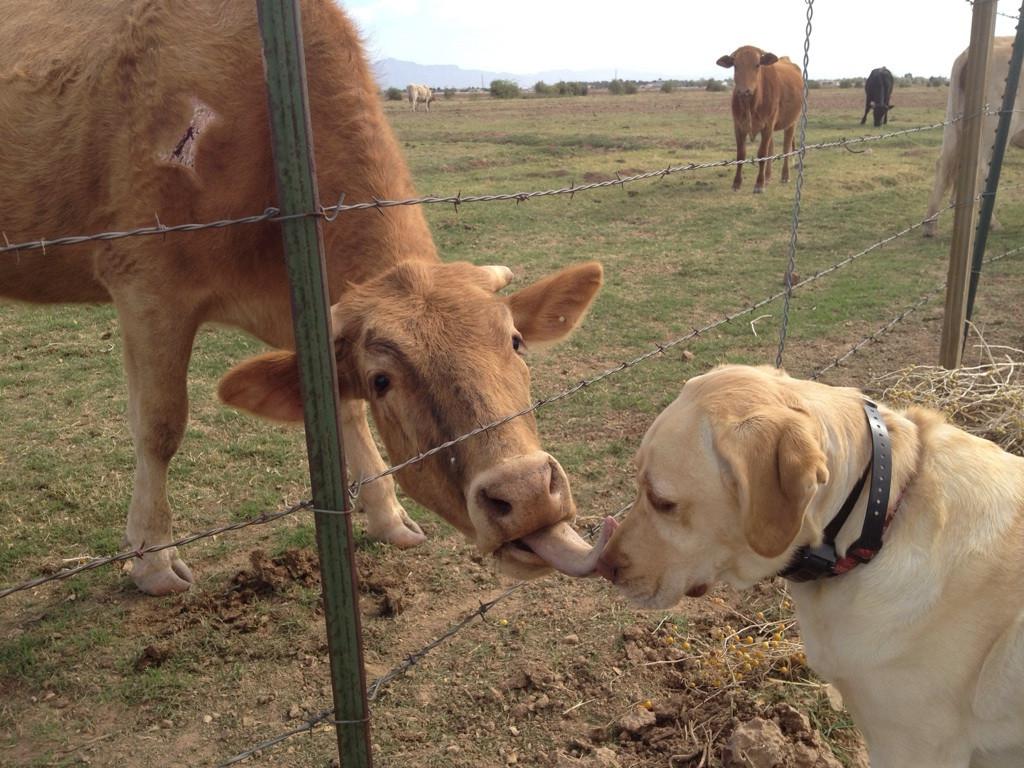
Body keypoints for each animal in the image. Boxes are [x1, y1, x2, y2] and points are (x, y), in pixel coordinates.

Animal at [0, 0, 604, 595]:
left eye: (517, 342)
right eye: (383, 380)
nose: (526, 493)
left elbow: (343, 412)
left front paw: (388, 516)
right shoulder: (146, 288)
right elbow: (159, 427)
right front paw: (153, 559)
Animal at [717, 46, 804, 193]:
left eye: (757, 65)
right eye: (735, 65)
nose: (743, 91)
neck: (751, 105)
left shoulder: (767, 125)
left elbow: (762, 154)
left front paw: (759, 184)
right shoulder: (738, 126)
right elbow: (741, 155)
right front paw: (736, 183)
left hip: (791, 123)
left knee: (786, 149)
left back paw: (784, 176)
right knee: (771, 149)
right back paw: (767, 177)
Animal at [924, 37, 1024, 237]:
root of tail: (967, 52)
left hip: (953, 121)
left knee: (943, 162)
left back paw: (931, 225)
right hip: (993, 125)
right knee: (982, 168)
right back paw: (992, 223)